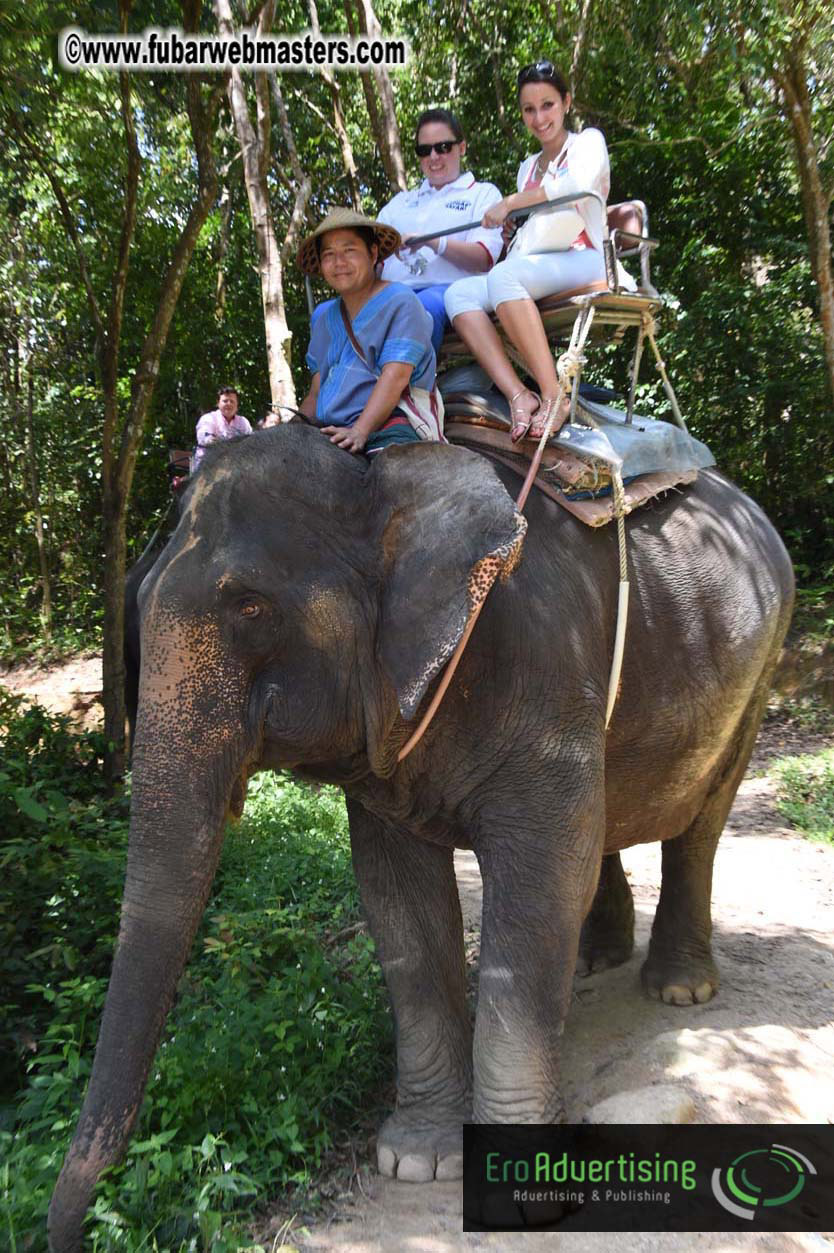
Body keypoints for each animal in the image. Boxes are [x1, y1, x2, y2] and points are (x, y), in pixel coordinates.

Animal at [48, 423, 793, 1249]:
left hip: (761, 665)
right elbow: (399, 895)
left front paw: (520, 1191)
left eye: (250, 605)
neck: (381, 479)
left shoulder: (546, 669)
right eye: (137, 605)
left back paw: (679, 988)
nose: (62, 1231)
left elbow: (541, 880)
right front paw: (415, 1160)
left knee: (703, 818)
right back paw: (597, 957)